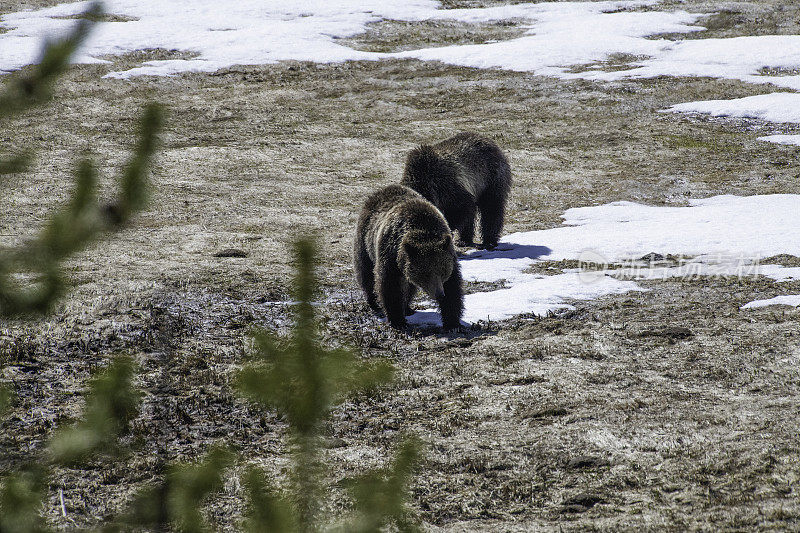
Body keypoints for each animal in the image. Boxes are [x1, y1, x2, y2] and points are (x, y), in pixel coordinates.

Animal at [354, 185, 466, 330]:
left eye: (442, 271)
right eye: (426, 273)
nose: (439, 294)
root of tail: (379, 192)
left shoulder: (449, 255)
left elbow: (453, 287)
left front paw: (452, 323)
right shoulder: (390, 255)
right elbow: (389, 286)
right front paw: (397, 321)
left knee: (409, 286)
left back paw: (407, 307)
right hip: (365, 243)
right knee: (365, 273)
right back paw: (373, 302)